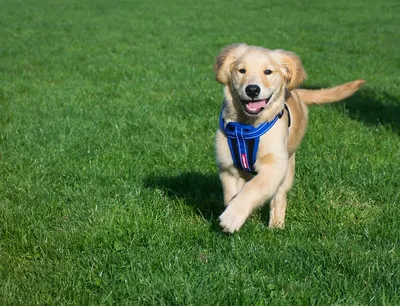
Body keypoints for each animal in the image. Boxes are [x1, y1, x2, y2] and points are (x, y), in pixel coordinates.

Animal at [214, 43, 364, 233]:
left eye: (268, 72)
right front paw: (235, 214)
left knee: (278, 197)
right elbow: (231, 195)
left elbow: (254, 188)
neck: (246, 125)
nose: (252, 89)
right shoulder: (228, 167)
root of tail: (295, 92)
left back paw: (276, 225)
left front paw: (232, 217)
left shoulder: (275, 166)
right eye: (242, 70)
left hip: (288, 168)